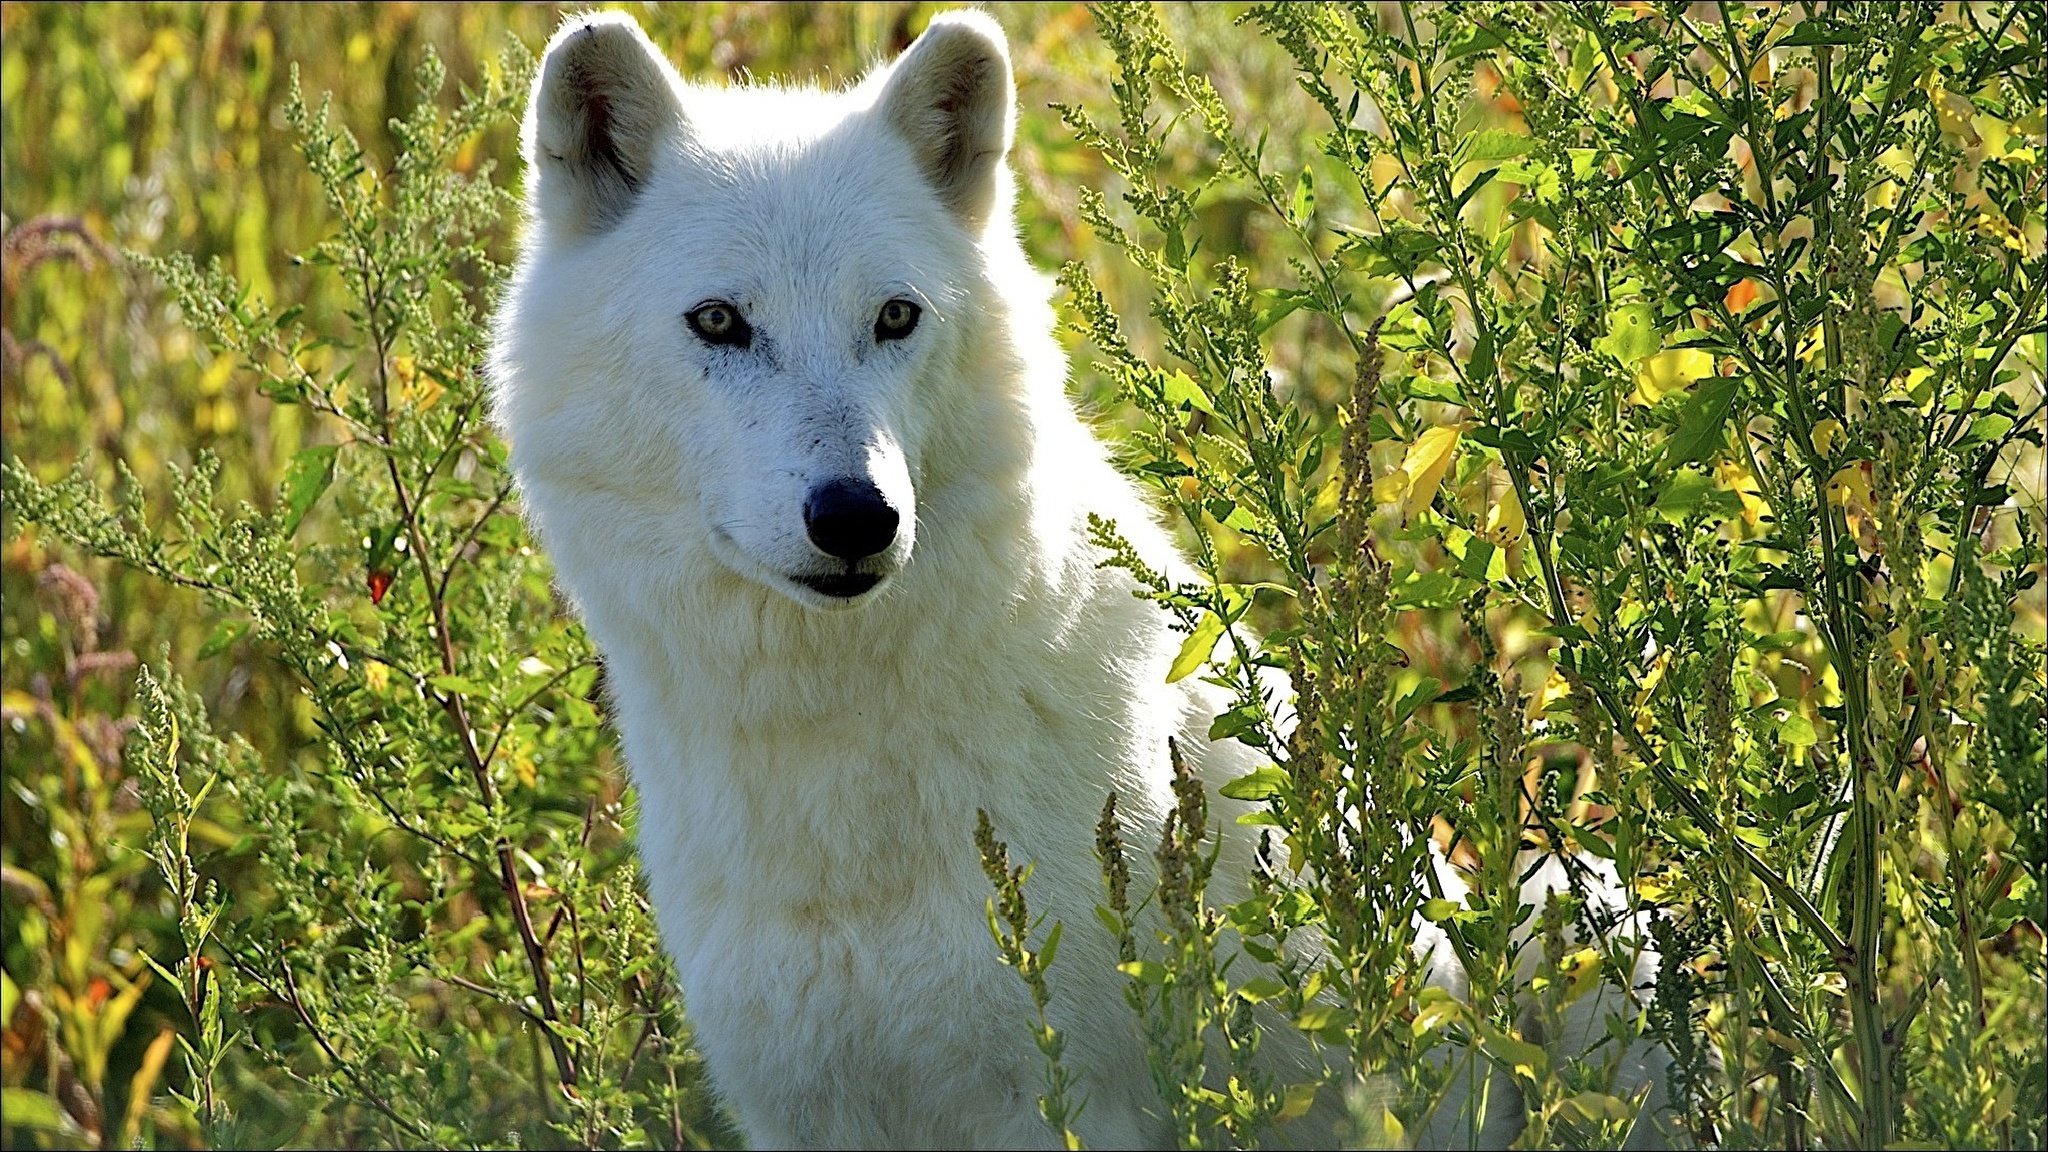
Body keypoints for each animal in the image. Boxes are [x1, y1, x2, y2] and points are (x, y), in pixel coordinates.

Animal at [491, 11, 1662, 1147]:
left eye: (895, 317)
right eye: (720, 322)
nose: (858, 517)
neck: (831, 774)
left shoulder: (1061, 1095)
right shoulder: (800, 1111)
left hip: (1594, 920)